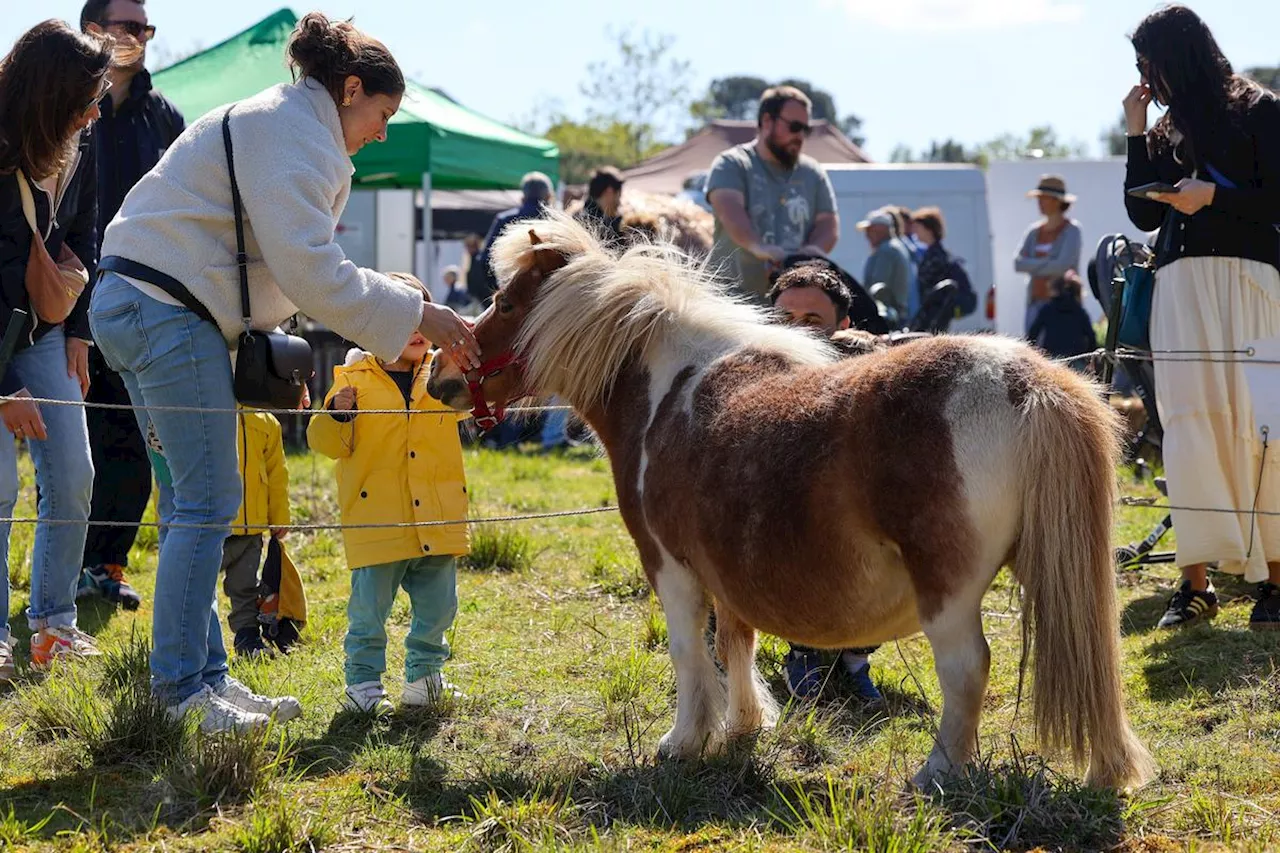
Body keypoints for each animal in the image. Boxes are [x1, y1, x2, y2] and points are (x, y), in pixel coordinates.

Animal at [430, 212, 1162, 788]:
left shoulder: (669, 565)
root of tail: (1025, 381)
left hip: (948, 594)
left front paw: (684, 741)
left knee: (965, 668)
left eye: (505, 301)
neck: (666, 389)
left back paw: (937, 773)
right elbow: (737, 642)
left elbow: (689, 652)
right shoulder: (726, 567)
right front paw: (743, 727)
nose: (440, 378)